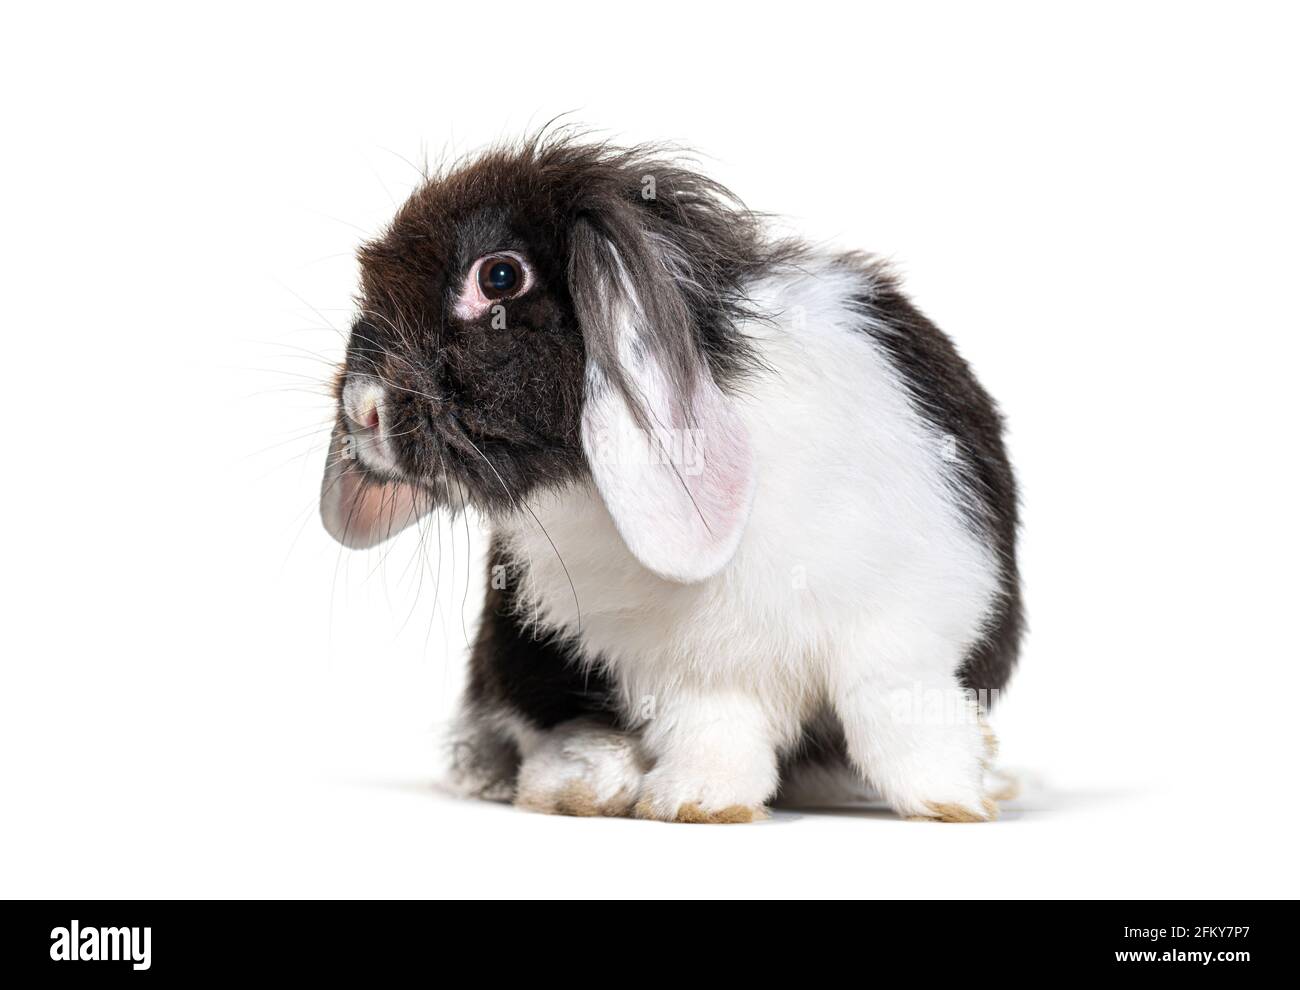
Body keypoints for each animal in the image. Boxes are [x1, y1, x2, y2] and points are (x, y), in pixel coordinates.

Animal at [319, 132, 1022, 823]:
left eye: (499, 276)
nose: (364, 408)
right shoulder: (695, 671)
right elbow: (718, 730)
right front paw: (700, 802)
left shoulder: (904, 626)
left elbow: (896, 715)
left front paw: (954, 800)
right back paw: (583, 782)